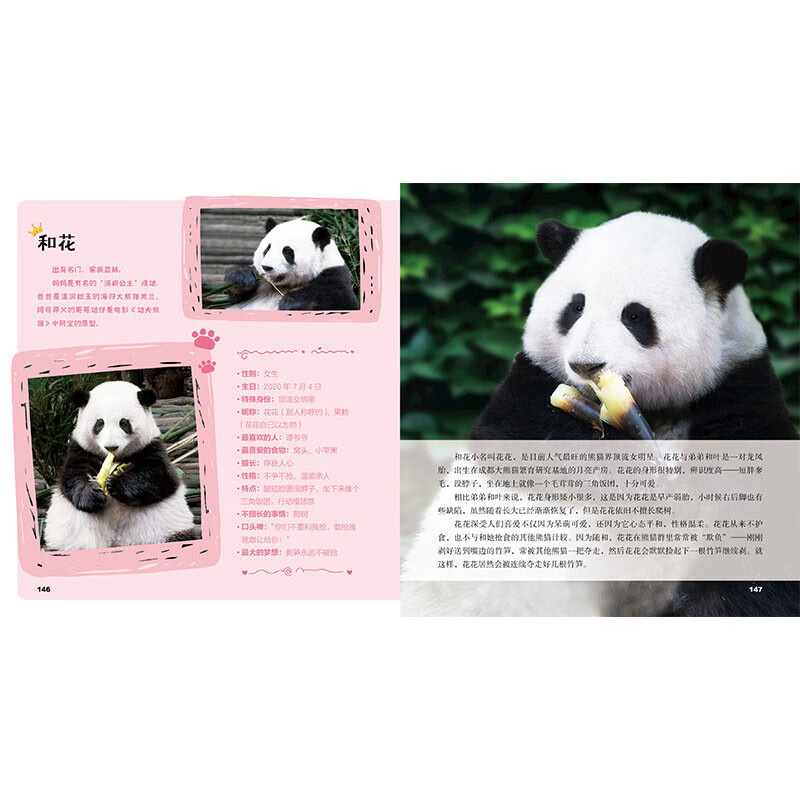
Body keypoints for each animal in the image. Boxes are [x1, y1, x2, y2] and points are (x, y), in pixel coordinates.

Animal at [43, 381, 197, 551]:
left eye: (124, 423)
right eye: (100, 423)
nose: (111, 447)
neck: (114, 459)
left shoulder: (151, 446)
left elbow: (158, 475)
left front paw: (115, 483)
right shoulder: (81, 449)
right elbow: (73, 477)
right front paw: (93, 492)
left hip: (168, 530)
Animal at [224, 217, 359, 311]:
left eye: (287, 251)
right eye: (267, 248)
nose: (266, 267)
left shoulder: (335, 274)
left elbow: (338, 299)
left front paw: (290, 302)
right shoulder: (261, 284)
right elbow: (231, 297)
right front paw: (242, 277)